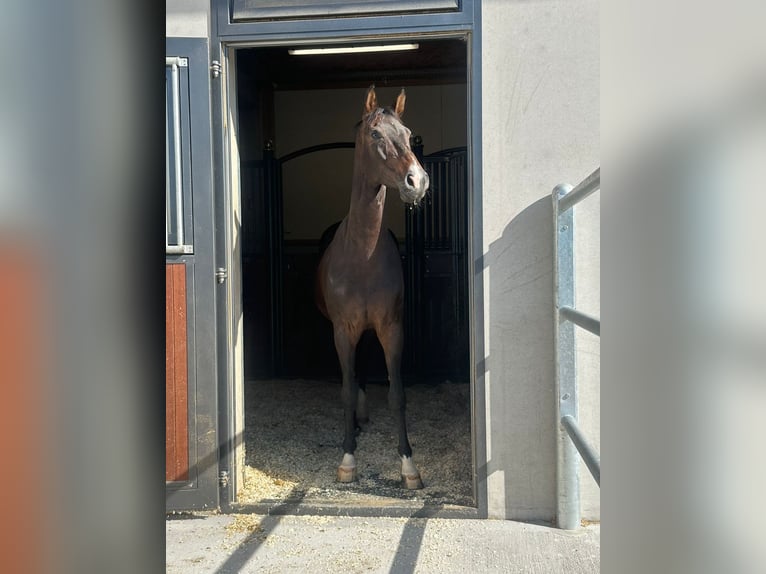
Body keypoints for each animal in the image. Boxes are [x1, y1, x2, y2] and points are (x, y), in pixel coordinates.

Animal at [316, 85, 428, 490]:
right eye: (376, 134)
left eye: (408, 133)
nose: (417, 181)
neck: (361, 255)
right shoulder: (342, 330)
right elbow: (346, 391)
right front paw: (348, 459)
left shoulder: (391, 328)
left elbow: (397, 394)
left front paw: (408, 465)